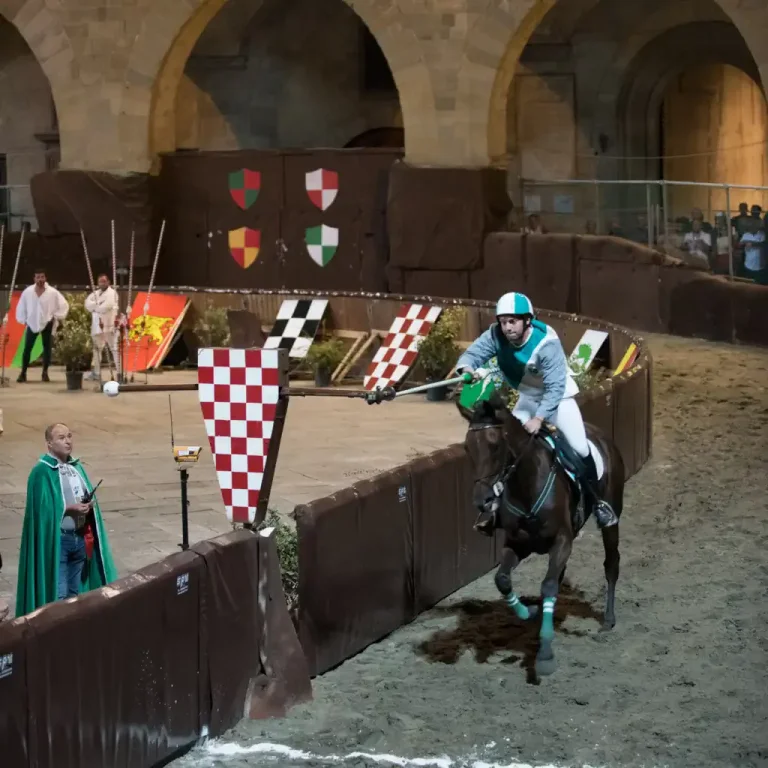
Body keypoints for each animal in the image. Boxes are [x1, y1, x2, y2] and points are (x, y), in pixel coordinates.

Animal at [456, 390, 624, 677]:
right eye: (468, 448)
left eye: (495, 445)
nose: (483, 501)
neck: (526, 486)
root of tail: (602, 436)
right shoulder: (517, 544)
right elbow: (503, 580)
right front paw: (531, 612)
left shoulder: (562, 541)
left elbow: (547, 585)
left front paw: (545, 654)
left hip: (611, 518)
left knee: (611, 563)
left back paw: (609, 619)